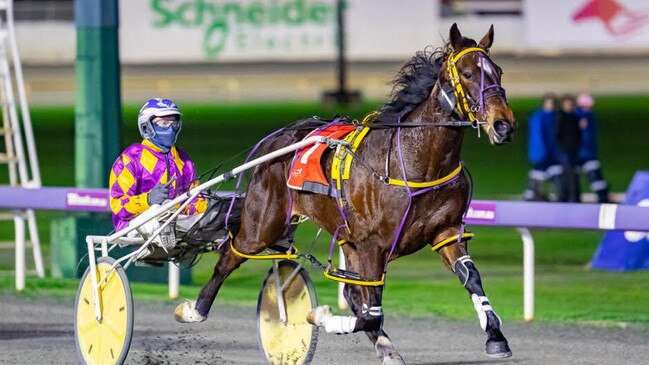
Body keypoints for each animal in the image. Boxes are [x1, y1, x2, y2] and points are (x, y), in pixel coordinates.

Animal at [175, 24, 512, 362]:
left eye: (497, 71)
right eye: (468, 74)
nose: (503, 125)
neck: (416, 161)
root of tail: (278, 138)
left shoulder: (446, 231)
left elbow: (471, 278)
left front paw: (496, 337)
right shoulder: (374, 244)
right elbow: (371, 311)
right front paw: (321, 316)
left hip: (346, 235)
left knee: (351, 290)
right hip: (263, 224)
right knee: (230, 255)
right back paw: (195, 309)